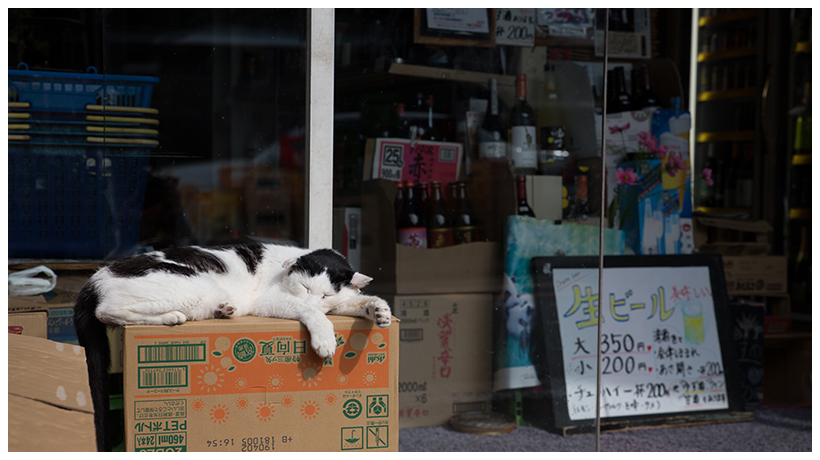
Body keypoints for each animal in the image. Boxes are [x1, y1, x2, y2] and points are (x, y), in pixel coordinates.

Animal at [73, 243, 390, 452]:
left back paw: (217, 311)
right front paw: (324, 337)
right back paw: (175, 316)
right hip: (192, 289)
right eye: (304, 288)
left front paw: (379, 310)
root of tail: (96, 277)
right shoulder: (271, 301)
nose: (313, 300)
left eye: (325, 295)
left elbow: (357, 300)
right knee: (107, 311)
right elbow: (312, 313)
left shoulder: (340, 301)